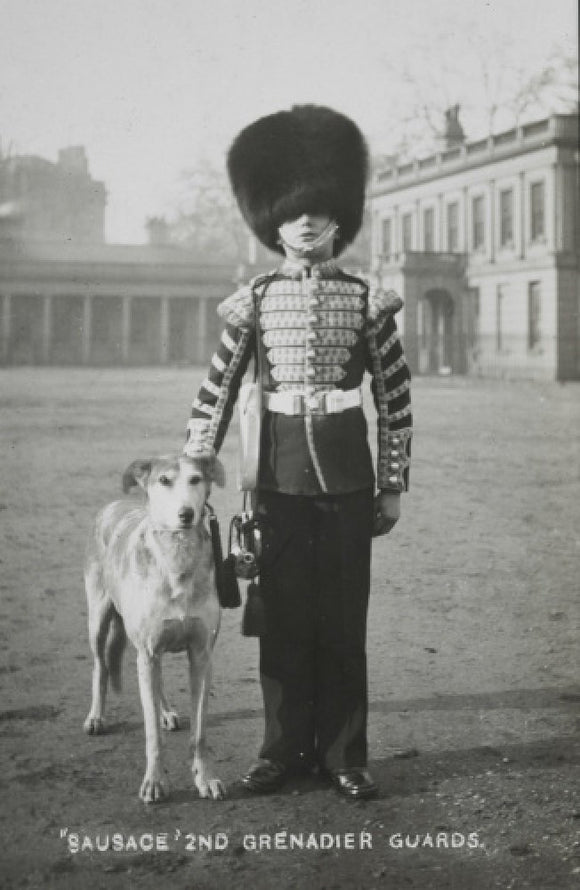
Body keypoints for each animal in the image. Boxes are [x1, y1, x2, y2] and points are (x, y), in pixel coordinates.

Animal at [82, 454, 225, 800]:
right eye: (164, 481)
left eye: (196, 479)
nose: (186, 514)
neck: (177, 559)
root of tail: (116, 503)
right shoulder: (147, 651)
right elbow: (152, 737)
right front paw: (155, 782)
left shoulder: (201, 655)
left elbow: (200, 731)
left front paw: (205, 778)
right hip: (99, 619)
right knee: (100, 666)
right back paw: (96, 717)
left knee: (154, 680)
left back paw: (166, 712)